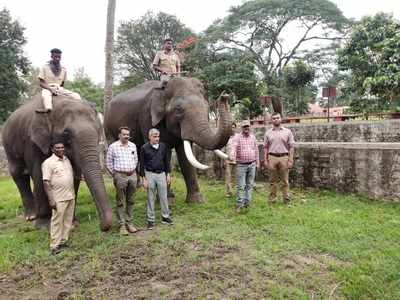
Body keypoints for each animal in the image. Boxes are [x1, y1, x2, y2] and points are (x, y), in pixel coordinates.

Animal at [2, 95, 112, 231]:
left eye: (98, 130)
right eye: (66, 132)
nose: (102, 227)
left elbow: (72, 174)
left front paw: (71, 223)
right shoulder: (33, 142)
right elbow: (40, 174)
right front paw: (44, 225)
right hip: (8, 144)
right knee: (18, 174)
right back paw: (31, 216)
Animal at [104, 77, 233, 203]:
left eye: (207, 108)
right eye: (178, 109)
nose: (224, 96)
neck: (164, 89)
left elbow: (185, 158)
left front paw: (196, 201)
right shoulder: (147, 117)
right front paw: (168, 200)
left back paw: (138, 187)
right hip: (108, 129)